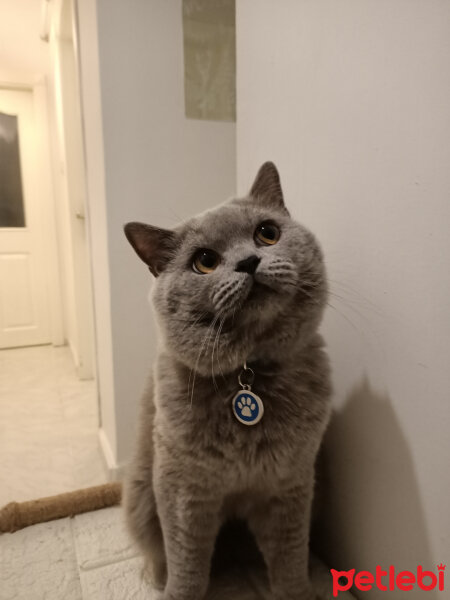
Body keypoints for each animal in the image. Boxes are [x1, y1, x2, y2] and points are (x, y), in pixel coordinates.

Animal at [123, 163, 330, 600]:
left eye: (267, 233)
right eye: (204, 261)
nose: (249, 262)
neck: (247, 374)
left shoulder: (290, 483)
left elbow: (289, 557)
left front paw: (298, 591)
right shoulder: (182, 489)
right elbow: (187, 564)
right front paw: (177, 592)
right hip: (139, 495)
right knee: (157, 551)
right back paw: (157, 577)